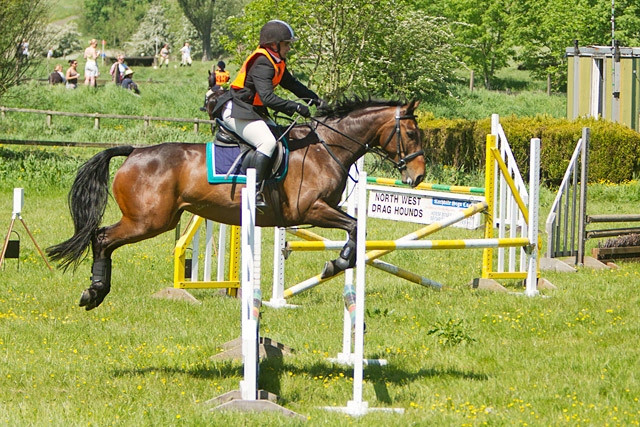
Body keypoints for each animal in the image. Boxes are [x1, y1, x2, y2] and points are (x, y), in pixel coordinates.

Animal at [47, 97, 428, 310]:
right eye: (411, 133)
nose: (419, 176)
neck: (325, 147)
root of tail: (135, 152)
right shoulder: (310, 210)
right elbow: (355, 226)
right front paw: (336, 264)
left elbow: (355, 228)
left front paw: (339, 262)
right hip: (148, 221)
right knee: (102, 238)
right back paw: (94, 292)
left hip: (156, 220)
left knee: (102, 238)